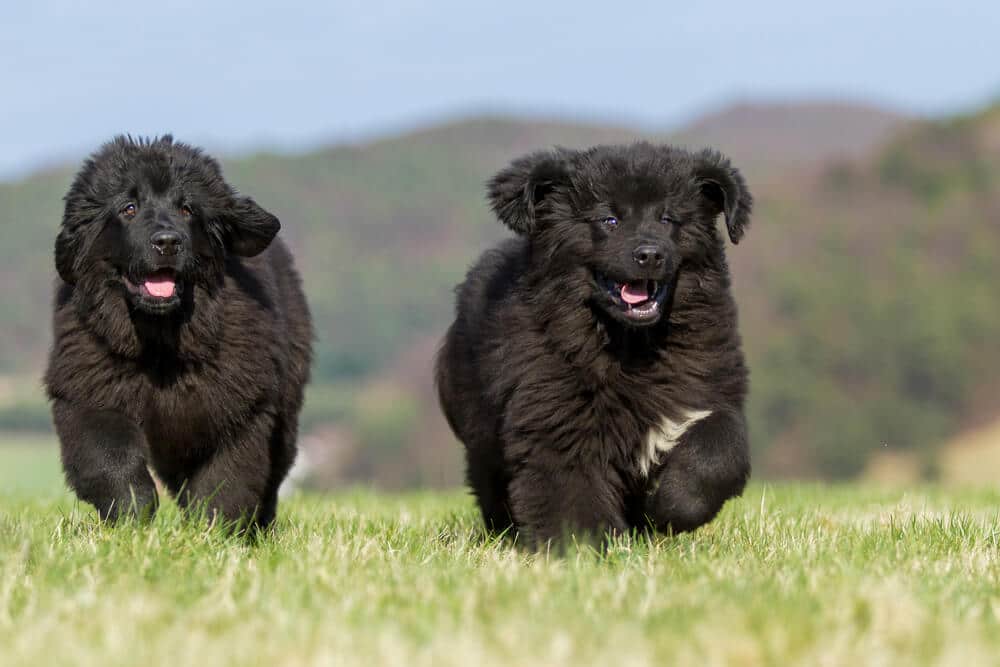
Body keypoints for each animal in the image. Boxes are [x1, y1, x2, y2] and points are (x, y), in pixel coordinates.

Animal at [45, 137, 310, 532]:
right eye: (129, 208)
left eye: (187, 209)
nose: (167, 242)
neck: (161, 344)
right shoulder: (91, 392)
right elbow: (111, 461)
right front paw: (132, 519)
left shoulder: (237, 407)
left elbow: (226, 478)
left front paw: (214, 531)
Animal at [438, 144, 752, 544]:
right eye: (609, 220)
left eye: (667, 218)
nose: (650, 254)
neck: (630, 345)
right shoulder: (555, 416)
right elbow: (571, 489)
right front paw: (583, 545)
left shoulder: (704, 392)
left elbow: (719, 451)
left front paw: (669, 507)